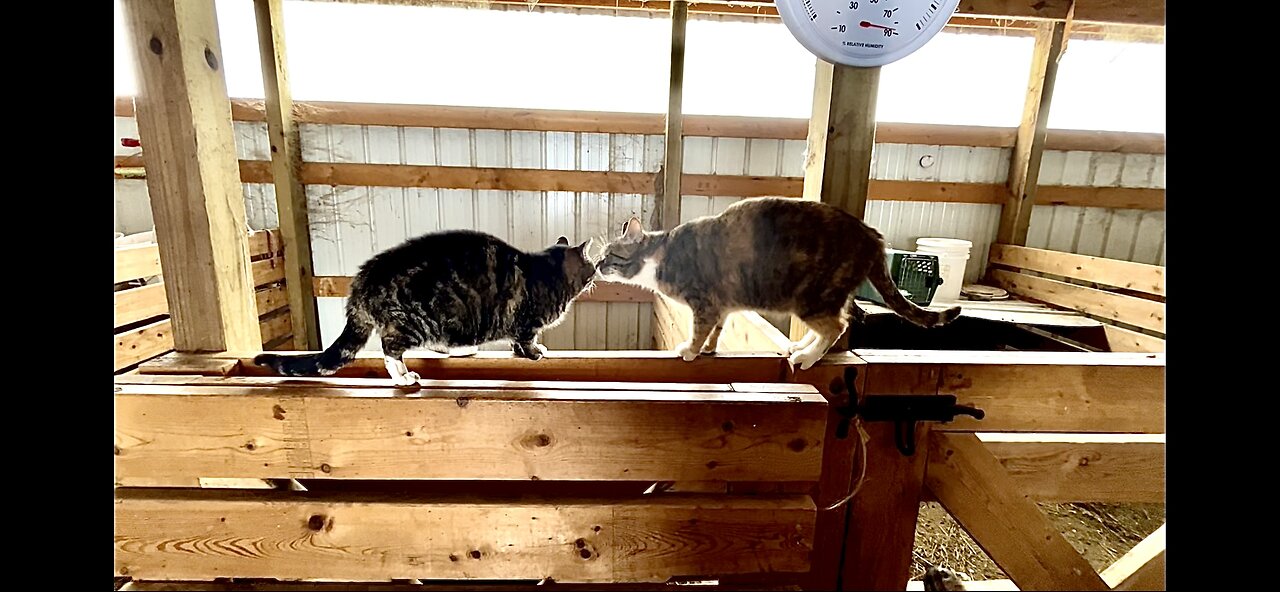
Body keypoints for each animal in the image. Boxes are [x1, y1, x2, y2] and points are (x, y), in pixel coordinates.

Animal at [259, 229, 604, 386]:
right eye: (593, 263)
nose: (599, 269)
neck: (548, 271)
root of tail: (361, 282)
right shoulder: (527, 321)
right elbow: (527, 339)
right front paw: (535, 353)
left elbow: (515, 342)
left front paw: (520, 353)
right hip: (415, 322)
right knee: (390, 347)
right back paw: (402, 376)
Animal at [593, 196, 957, 366]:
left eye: (609, 255)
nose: (595, 265)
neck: (660, 255)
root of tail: (873, 236)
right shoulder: (721, 305)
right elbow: (717, 329)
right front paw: (709, 349)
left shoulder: (704, 301)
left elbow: (699, 329)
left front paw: (691, 351)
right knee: (835, 321)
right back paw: (801, 346)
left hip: (811, 297)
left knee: (837, 326)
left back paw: (807, 357)